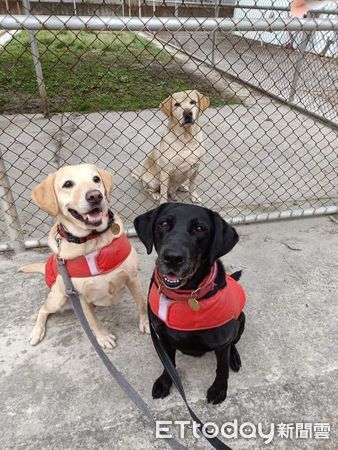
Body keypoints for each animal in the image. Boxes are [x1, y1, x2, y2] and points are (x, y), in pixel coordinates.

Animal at [19, 163, 149, 350]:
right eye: (67, 184)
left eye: (96, 179)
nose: (95, 195)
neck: (93, 240)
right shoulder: (81, 298)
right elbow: (93, 322)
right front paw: (103, 338)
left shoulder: (132, 278)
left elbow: (142, 303)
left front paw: (146, 324)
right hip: (59, 298)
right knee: (43, 309)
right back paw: (37, 332)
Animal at [134, 204, 246, 404]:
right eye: (163, 223)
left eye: (200, 228)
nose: (172, 258)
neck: (185, 296)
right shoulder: (163, 338)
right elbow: (168, 364)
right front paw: (165, 382)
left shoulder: (221, 343)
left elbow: (222, 367)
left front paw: (219, 388)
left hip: (240, 321)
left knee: (233, 343)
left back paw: (234, 357)